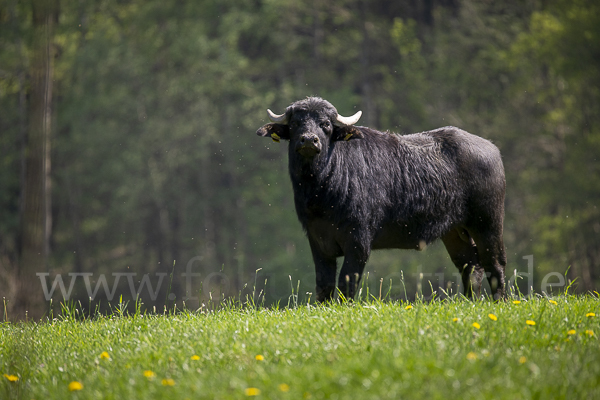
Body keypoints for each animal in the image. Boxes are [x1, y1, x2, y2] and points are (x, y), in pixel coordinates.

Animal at [256, 97, 506, 302]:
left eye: (325, 124)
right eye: (296, 123)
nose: (309, 140)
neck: (322, 193)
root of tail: (493, 150)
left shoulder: (358, 241)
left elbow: (347, 282)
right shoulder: (317, 240)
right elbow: (324, 284)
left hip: (488, 222)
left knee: (495, 263)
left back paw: (500, 301)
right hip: (454, 231)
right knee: (471, 266)